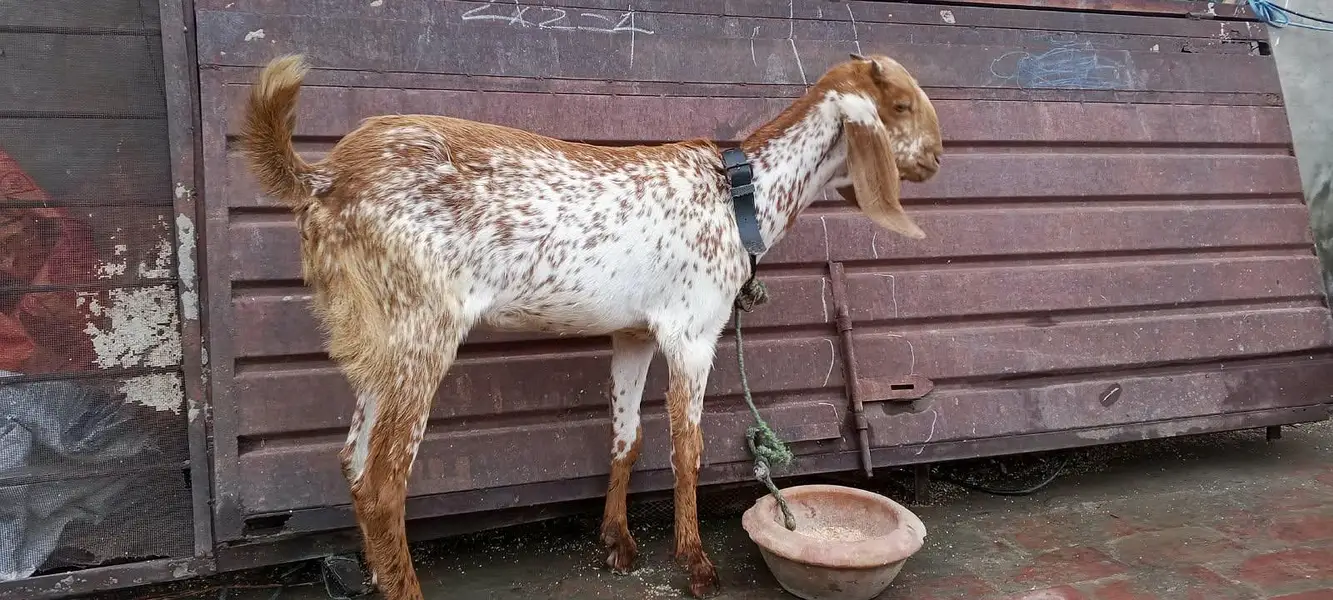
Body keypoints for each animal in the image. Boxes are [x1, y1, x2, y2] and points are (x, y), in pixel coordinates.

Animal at [240, 52, 942, 600]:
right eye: (901, 104)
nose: (937, 156)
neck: (741, 193)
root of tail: (324, 178)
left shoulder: (632, 333)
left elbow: (627, 436)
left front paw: (619, 544)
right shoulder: (691, 330)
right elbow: (688, 446)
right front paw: (695, 564)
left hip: (379, 337)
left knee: (354, 464)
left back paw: (378, 575)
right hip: (422, 326)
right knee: (387, 480)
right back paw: (405, 587)